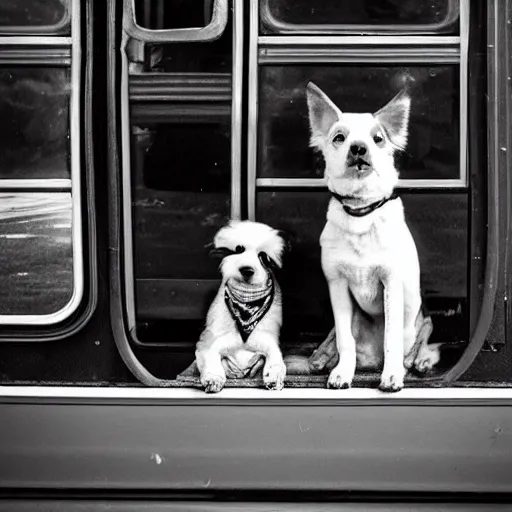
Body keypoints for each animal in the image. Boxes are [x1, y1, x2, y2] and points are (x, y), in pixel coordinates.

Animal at [195, 219, 286, 392]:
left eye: (263, 256)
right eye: (239, 249)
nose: (247, 270)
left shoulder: (265, 336)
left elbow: (274, 355)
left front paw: (274, 377)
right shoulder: (214, 338)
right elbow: (211, 355)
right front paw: (213, 379)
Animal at [302, 82, 442, 392]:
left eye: (378, 138)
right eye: (339, 138)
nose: (358, 147)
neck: (360, 212)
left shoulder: (391, 283)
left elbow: (392, 339)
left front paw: (392, 375)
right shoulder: (338, 286)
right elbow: (345, 340)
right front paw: (342, 372)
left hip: (419, 318)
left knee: (423, 336)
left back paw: (418, 361)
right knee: (336, 337)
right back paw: (321, 357)